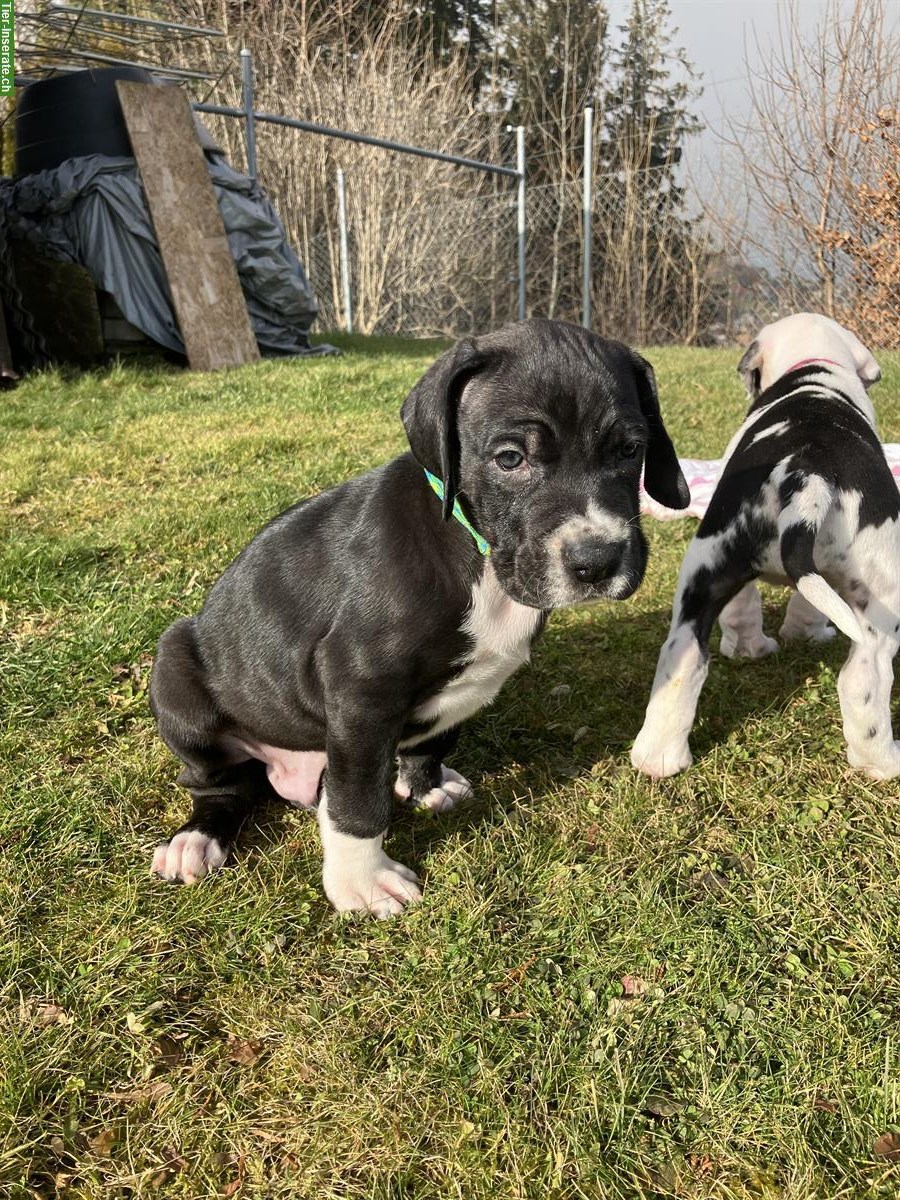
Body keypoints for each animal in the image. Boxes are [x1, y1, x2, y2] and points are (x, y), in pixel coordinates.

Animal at [151, 314, 696, 912]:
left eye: (630, 451)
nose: (597, 561)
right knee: (222, 784)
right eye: (511, 459)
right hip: (176, 676)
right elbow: (357, 798)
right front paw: (361, 880)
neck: (475, 549)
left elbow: (434, 739)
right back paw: (196, 839)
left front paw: (423, 784)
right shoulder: (362, 688)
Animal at [633, 316, 900, 787]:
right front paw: (806, 635)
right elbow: (807, 611)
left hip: (707, 568)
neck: (814, 367)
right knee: (867, 675)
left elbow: (744, 611)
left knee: (683, 658)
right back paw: (885, 762)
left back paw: (658, 758)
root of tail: (807, 473)